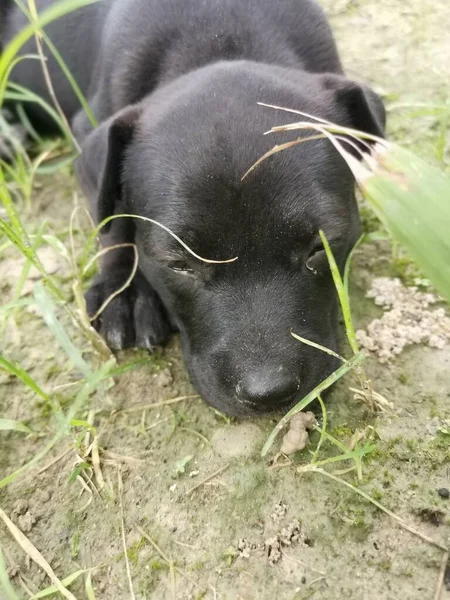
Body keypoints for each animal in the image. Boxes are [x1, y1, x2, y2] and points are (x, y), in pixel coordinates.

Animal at [1, 0, 384, 414]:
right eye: (178, 264)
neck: (219, 34)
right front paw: (125, 290)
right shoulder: (90, 127)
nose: (267, 393)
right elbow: (113, 217)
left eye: (320, 248)